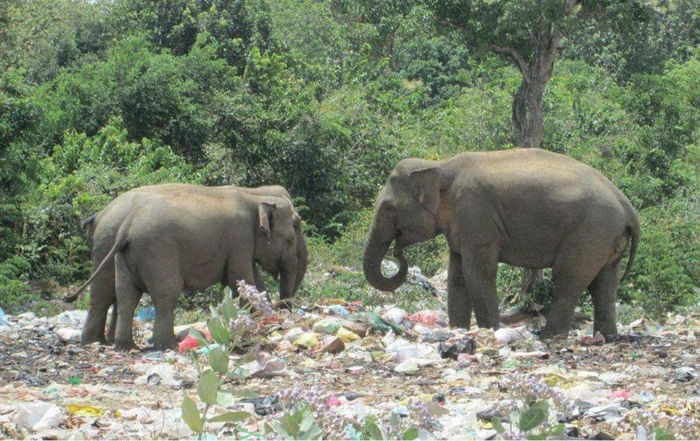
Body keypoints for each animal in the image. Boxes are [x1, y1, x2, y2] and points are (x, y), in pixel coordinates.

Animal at [67, 182, 308, 344]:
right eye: (294, 231)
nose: (283, 312)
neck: (254, 195)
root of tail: (125, 226)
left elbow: (250, 280)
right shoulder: (240, 239)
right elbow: (239, 278)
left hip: (117, 251)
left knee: (118, 294)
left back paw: (112, 344)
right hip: (156, 252)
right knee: (165, 293)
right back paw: (167, 344)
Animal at [364, 147, 644, 336]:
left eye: (388, 208)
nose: (399, 252)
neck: (439, 166)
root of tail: (627, 207)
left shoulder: (475, 215)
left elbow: (477, 273)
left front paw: (490, 331)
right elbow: (457, 277)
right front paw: (458, 331)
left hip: (590, 232)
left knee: (568, 280)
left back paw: (548, 337)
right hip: (607, 238)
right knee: (605, 284)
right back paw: (606, 337)